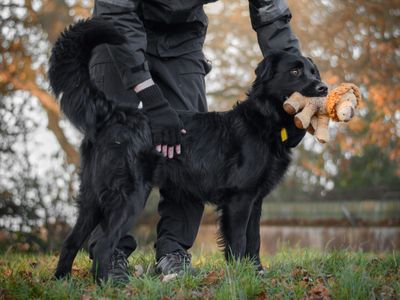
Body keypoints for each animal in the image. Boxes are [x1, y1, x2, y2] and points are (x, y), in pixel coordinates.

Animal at [48, 17, 326, 282]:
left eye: (314, 72)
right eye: (295, 70)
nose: (323, 87)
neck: (263, 120)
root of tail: (115, 114)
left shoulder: (255, 200)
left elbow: (254, 241)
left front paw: (256, 274)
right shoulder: (239, 199)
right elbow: (238, 243)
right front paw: (239, 278)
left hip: (92, 197)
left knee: (71, 242)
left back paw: (63, 281)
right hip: (129, 196)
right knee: (103, 245)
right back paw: (110, 284)